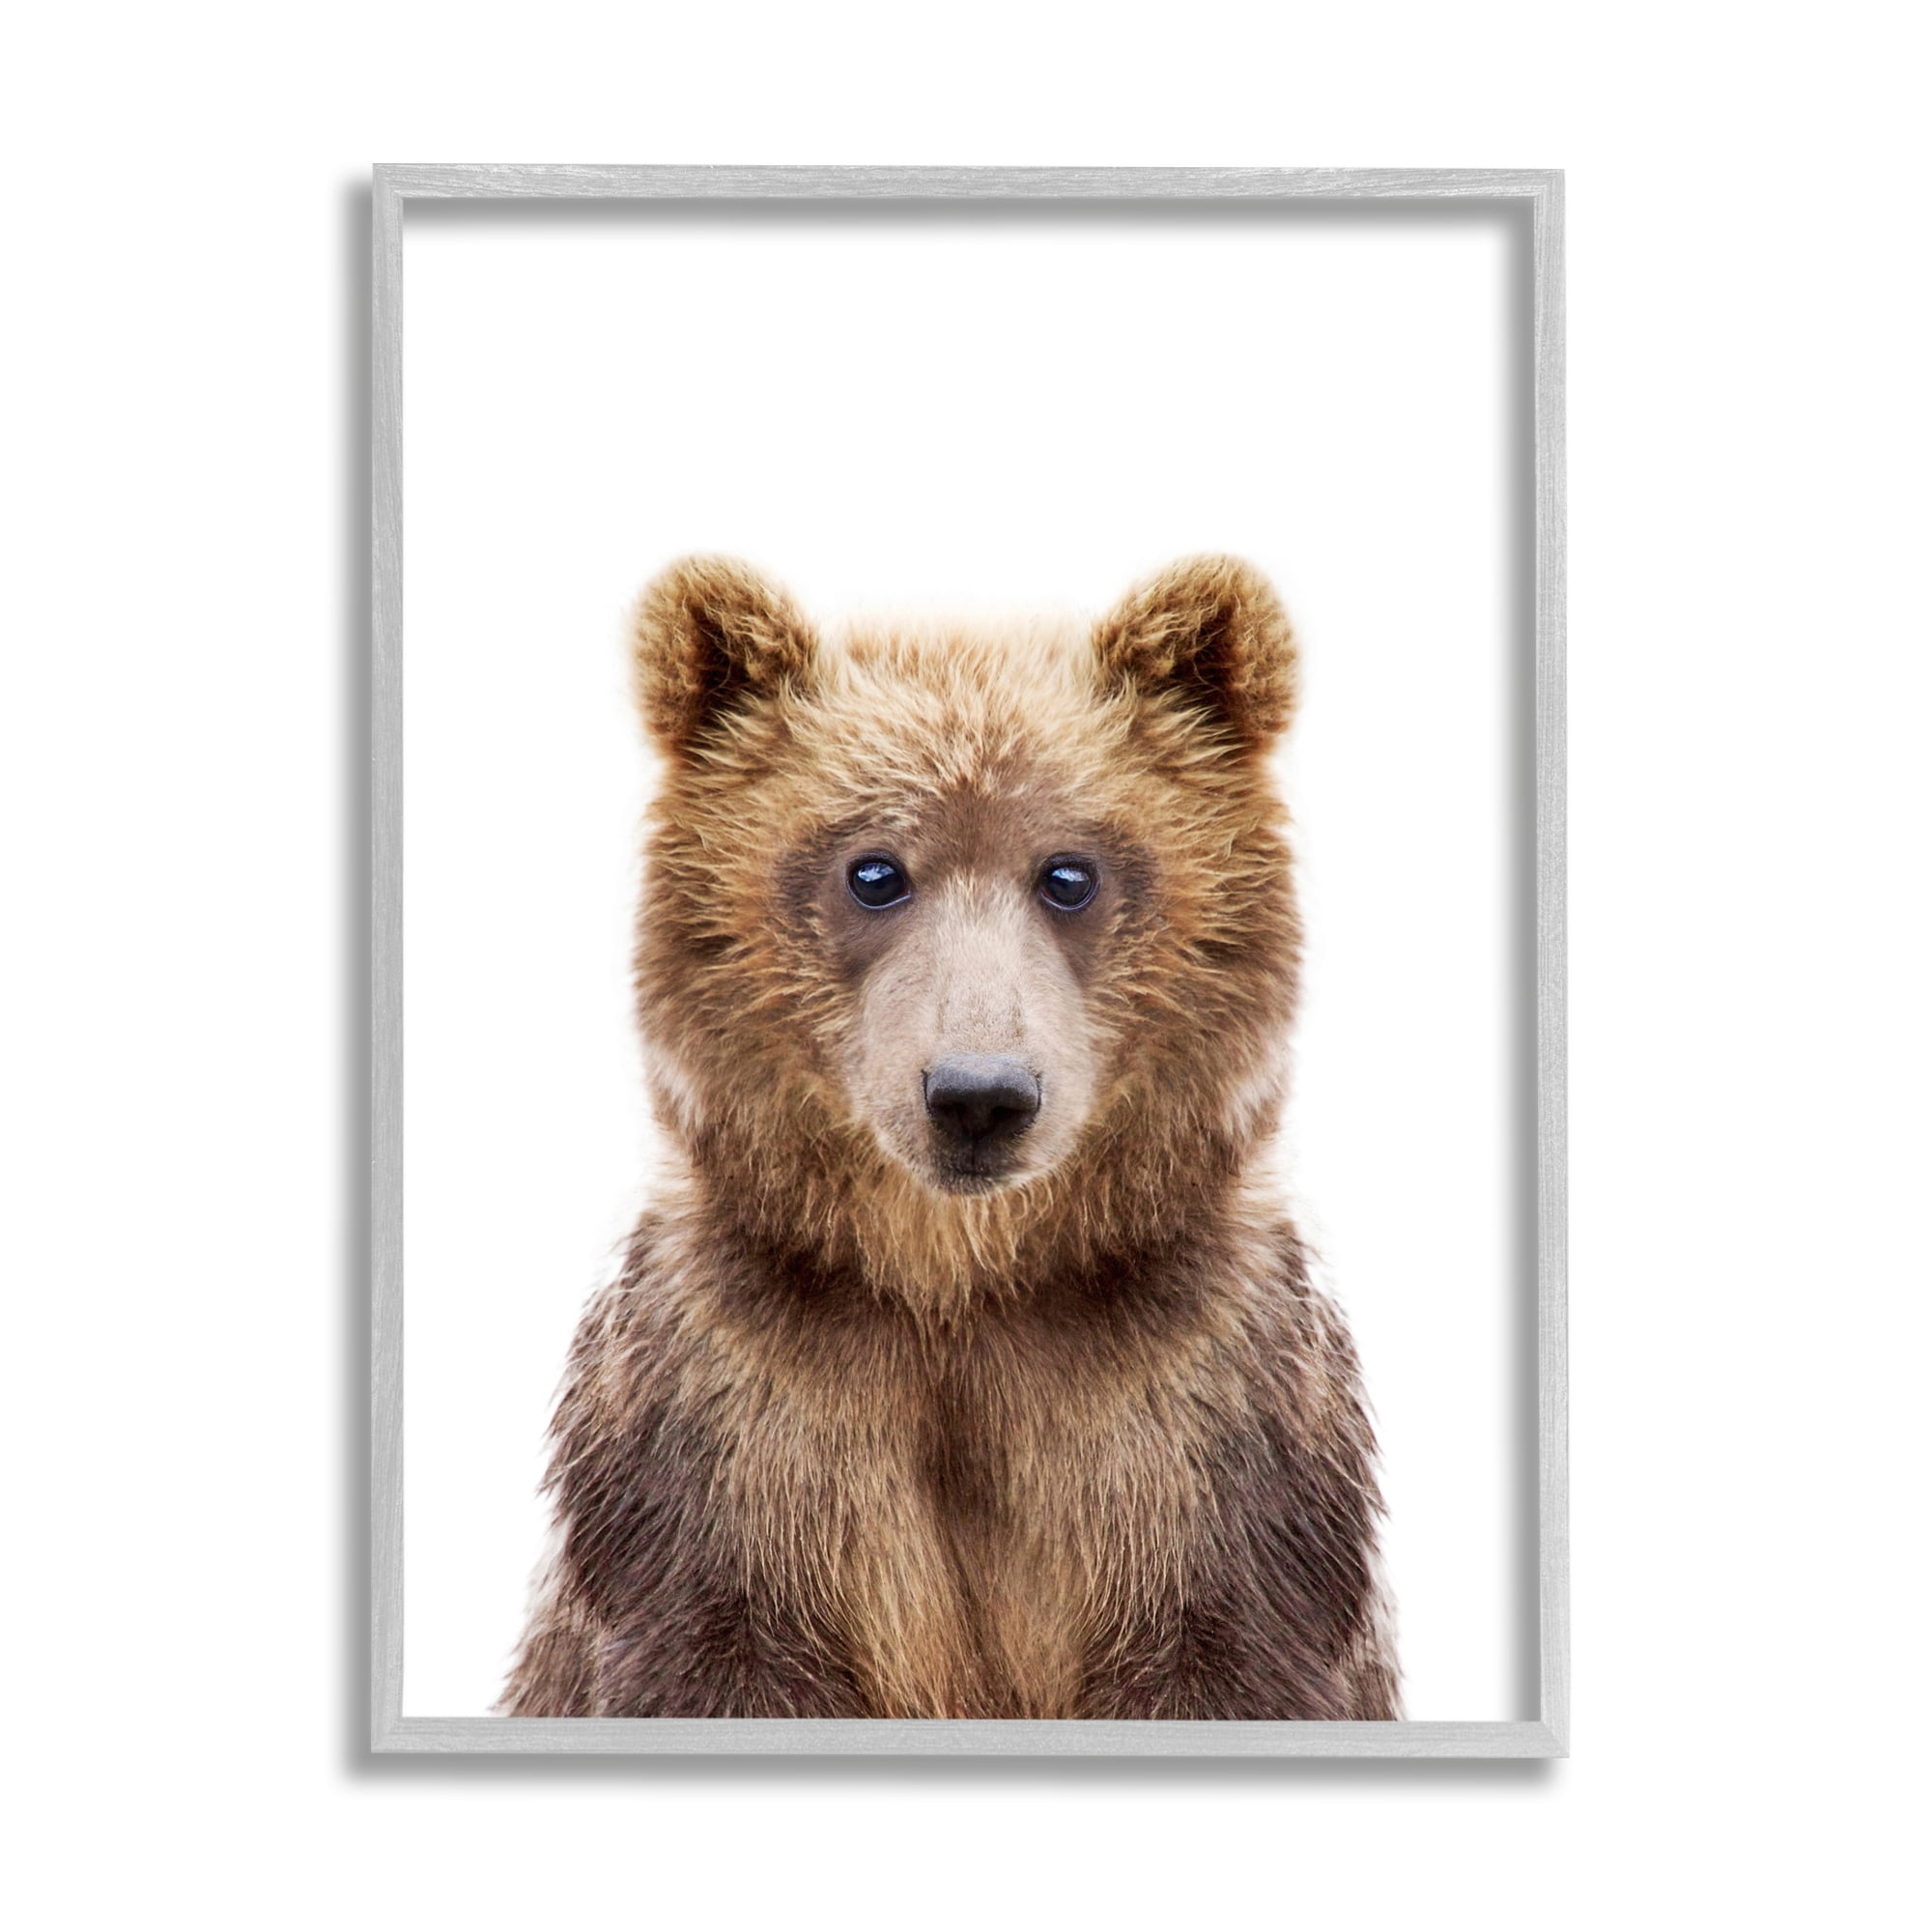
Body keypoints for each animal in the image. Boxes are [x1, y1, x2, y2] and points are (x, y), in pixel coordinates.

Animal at [499, 555, 1399, 1721]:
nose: (978, 1095)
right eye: (873, 869)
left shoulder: (1203, 1428)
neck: (960, 1285)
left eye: (1069, 871)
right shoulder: (728, 1427)